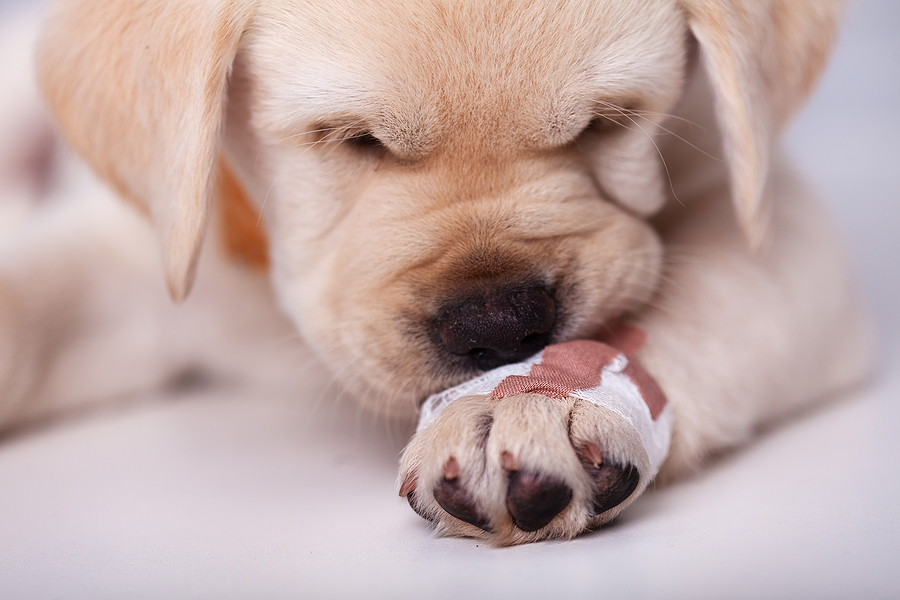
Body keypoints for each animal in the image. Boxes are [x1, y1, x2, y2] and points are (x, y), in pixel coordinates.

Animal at [0, 0, 872, 548]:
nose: (501, 325)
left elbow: (697, 298)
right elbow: (26, 307)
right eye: (350, 139)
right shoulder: (147, 259)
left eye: (607, 124)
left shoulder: (775, 226)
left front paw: (534, 403)